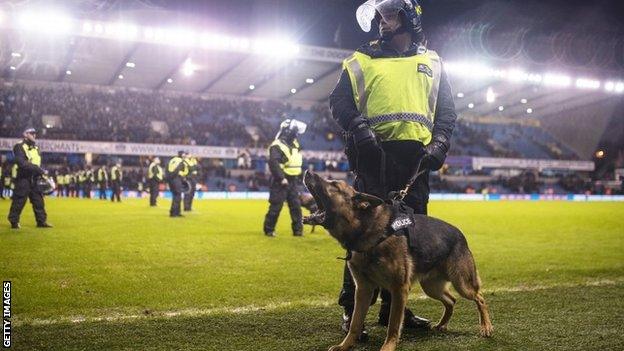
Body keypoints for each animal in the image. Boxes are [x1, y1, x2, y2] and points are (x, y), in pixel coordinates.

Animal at [302, 172, 492, 351]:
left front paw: (388, 347)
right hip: (431, 287)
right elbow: (355, 324)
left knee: (480, 298)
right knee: (451, 300)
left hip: (462, 283)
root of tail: (460, 233)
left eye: (334, 185)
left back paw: (486, 327)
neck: (369, 231)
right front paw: (345, 345)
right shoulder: (363, 289)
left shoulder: (399, 289)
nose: (307, 172)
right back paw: (442, 324)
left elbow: (393, 325)